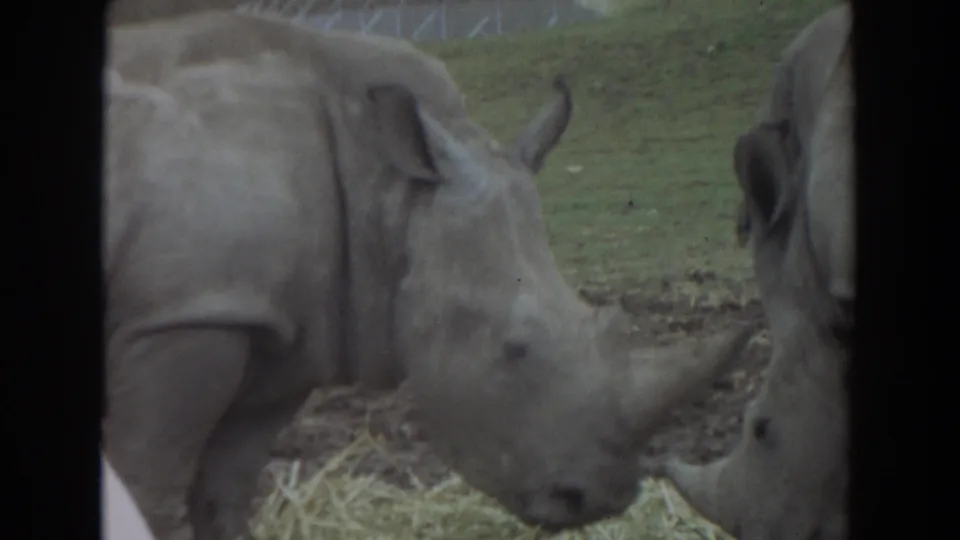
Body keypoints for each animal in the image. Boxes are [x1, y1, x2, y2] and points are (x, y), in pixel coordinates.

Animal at [103, 11, 752, 540]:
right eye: (513, 350)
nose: (597, 500)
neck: (393, 191)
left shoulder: (277, 325)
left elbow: (223, 496)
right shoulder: (186, 310)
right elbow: (149, 487)